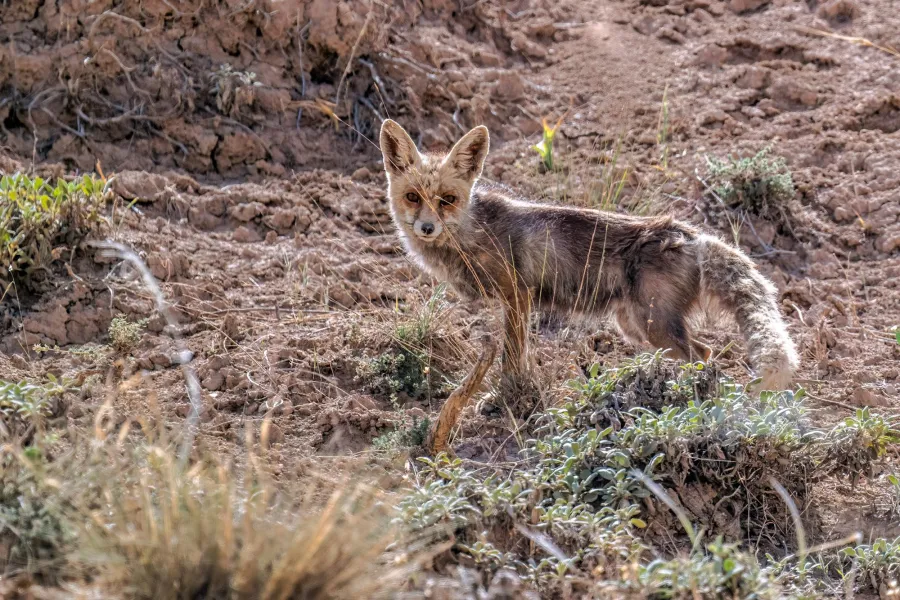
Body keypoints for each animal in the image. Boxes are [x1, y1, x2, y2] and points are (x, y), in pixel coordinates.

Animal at [378, 119, 799, 392]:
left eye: (447, 200)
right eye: (413, 197)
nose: (426, 228)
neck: (469, 233)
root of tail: (692, 234)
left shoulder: (517, 295)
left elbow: (512, 356)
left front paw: (510, 394)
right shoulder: (514, 301)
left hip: (655, 326)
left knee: (702, 354)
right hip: (635, 325)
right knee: (704, 351)